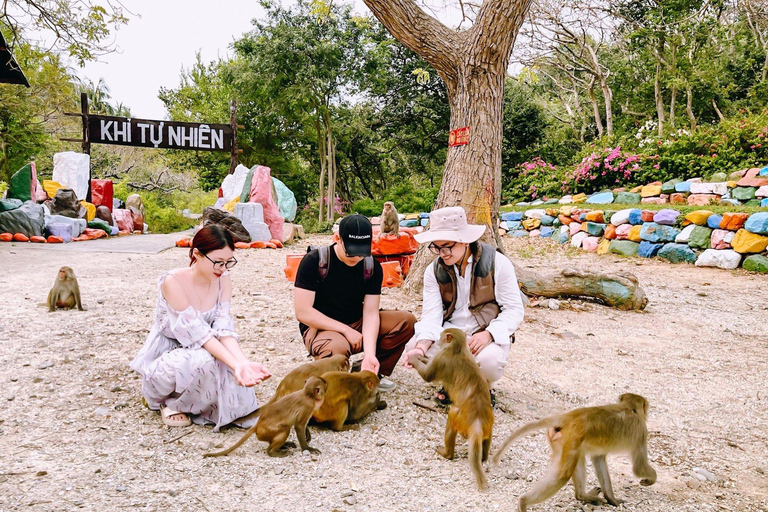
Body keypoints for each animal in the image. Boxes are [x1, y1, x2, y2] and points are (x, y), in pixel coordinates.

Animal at [408, 328, 492, 492]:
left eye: (441, 336)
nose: (437, 340)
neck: (457, 350)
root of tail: (478, 421)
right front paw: (421, 356)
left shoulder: (442, 357)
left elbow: (427, 375)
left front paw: (414, 358)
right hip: (488, 425)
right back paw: (483, 457)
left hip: (460, 419)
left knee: (452, 414)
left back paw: (447, 454)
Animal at [488, 392, 656, 508]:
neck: (629, 408)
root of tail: (569, 416)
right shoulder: (642, 432)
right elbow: (638, 468)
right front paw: (650, 478)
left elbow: (598, 459)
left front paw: (611, 498)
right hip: (572, 439)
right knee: (563, 474)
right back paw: (524, 502)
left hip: (562, 440)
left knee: (577, 459)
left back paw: (582, 496)